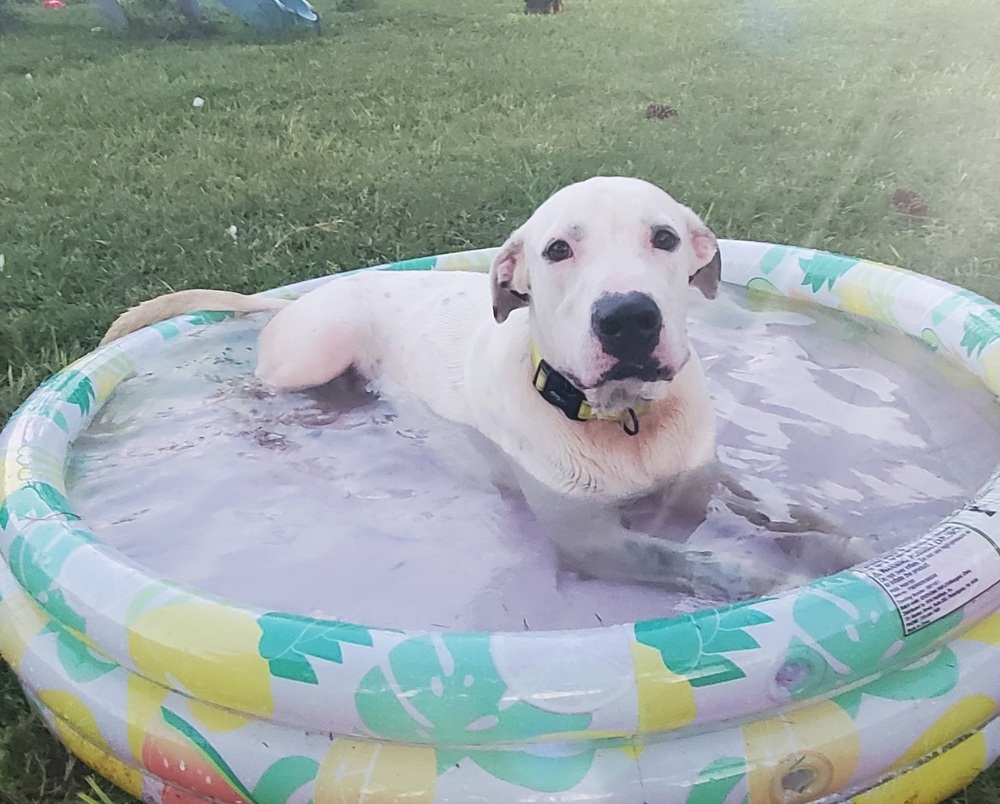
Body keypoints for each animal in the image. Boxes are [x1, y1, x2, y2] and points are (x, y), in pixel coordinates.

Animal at [103, 178, 720, 500]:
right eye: (557, 250)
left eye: (665, 238)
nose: (628, 318)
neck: (626, 421)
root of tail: (299, 298)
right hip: (318, 349)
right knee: (251, 388)